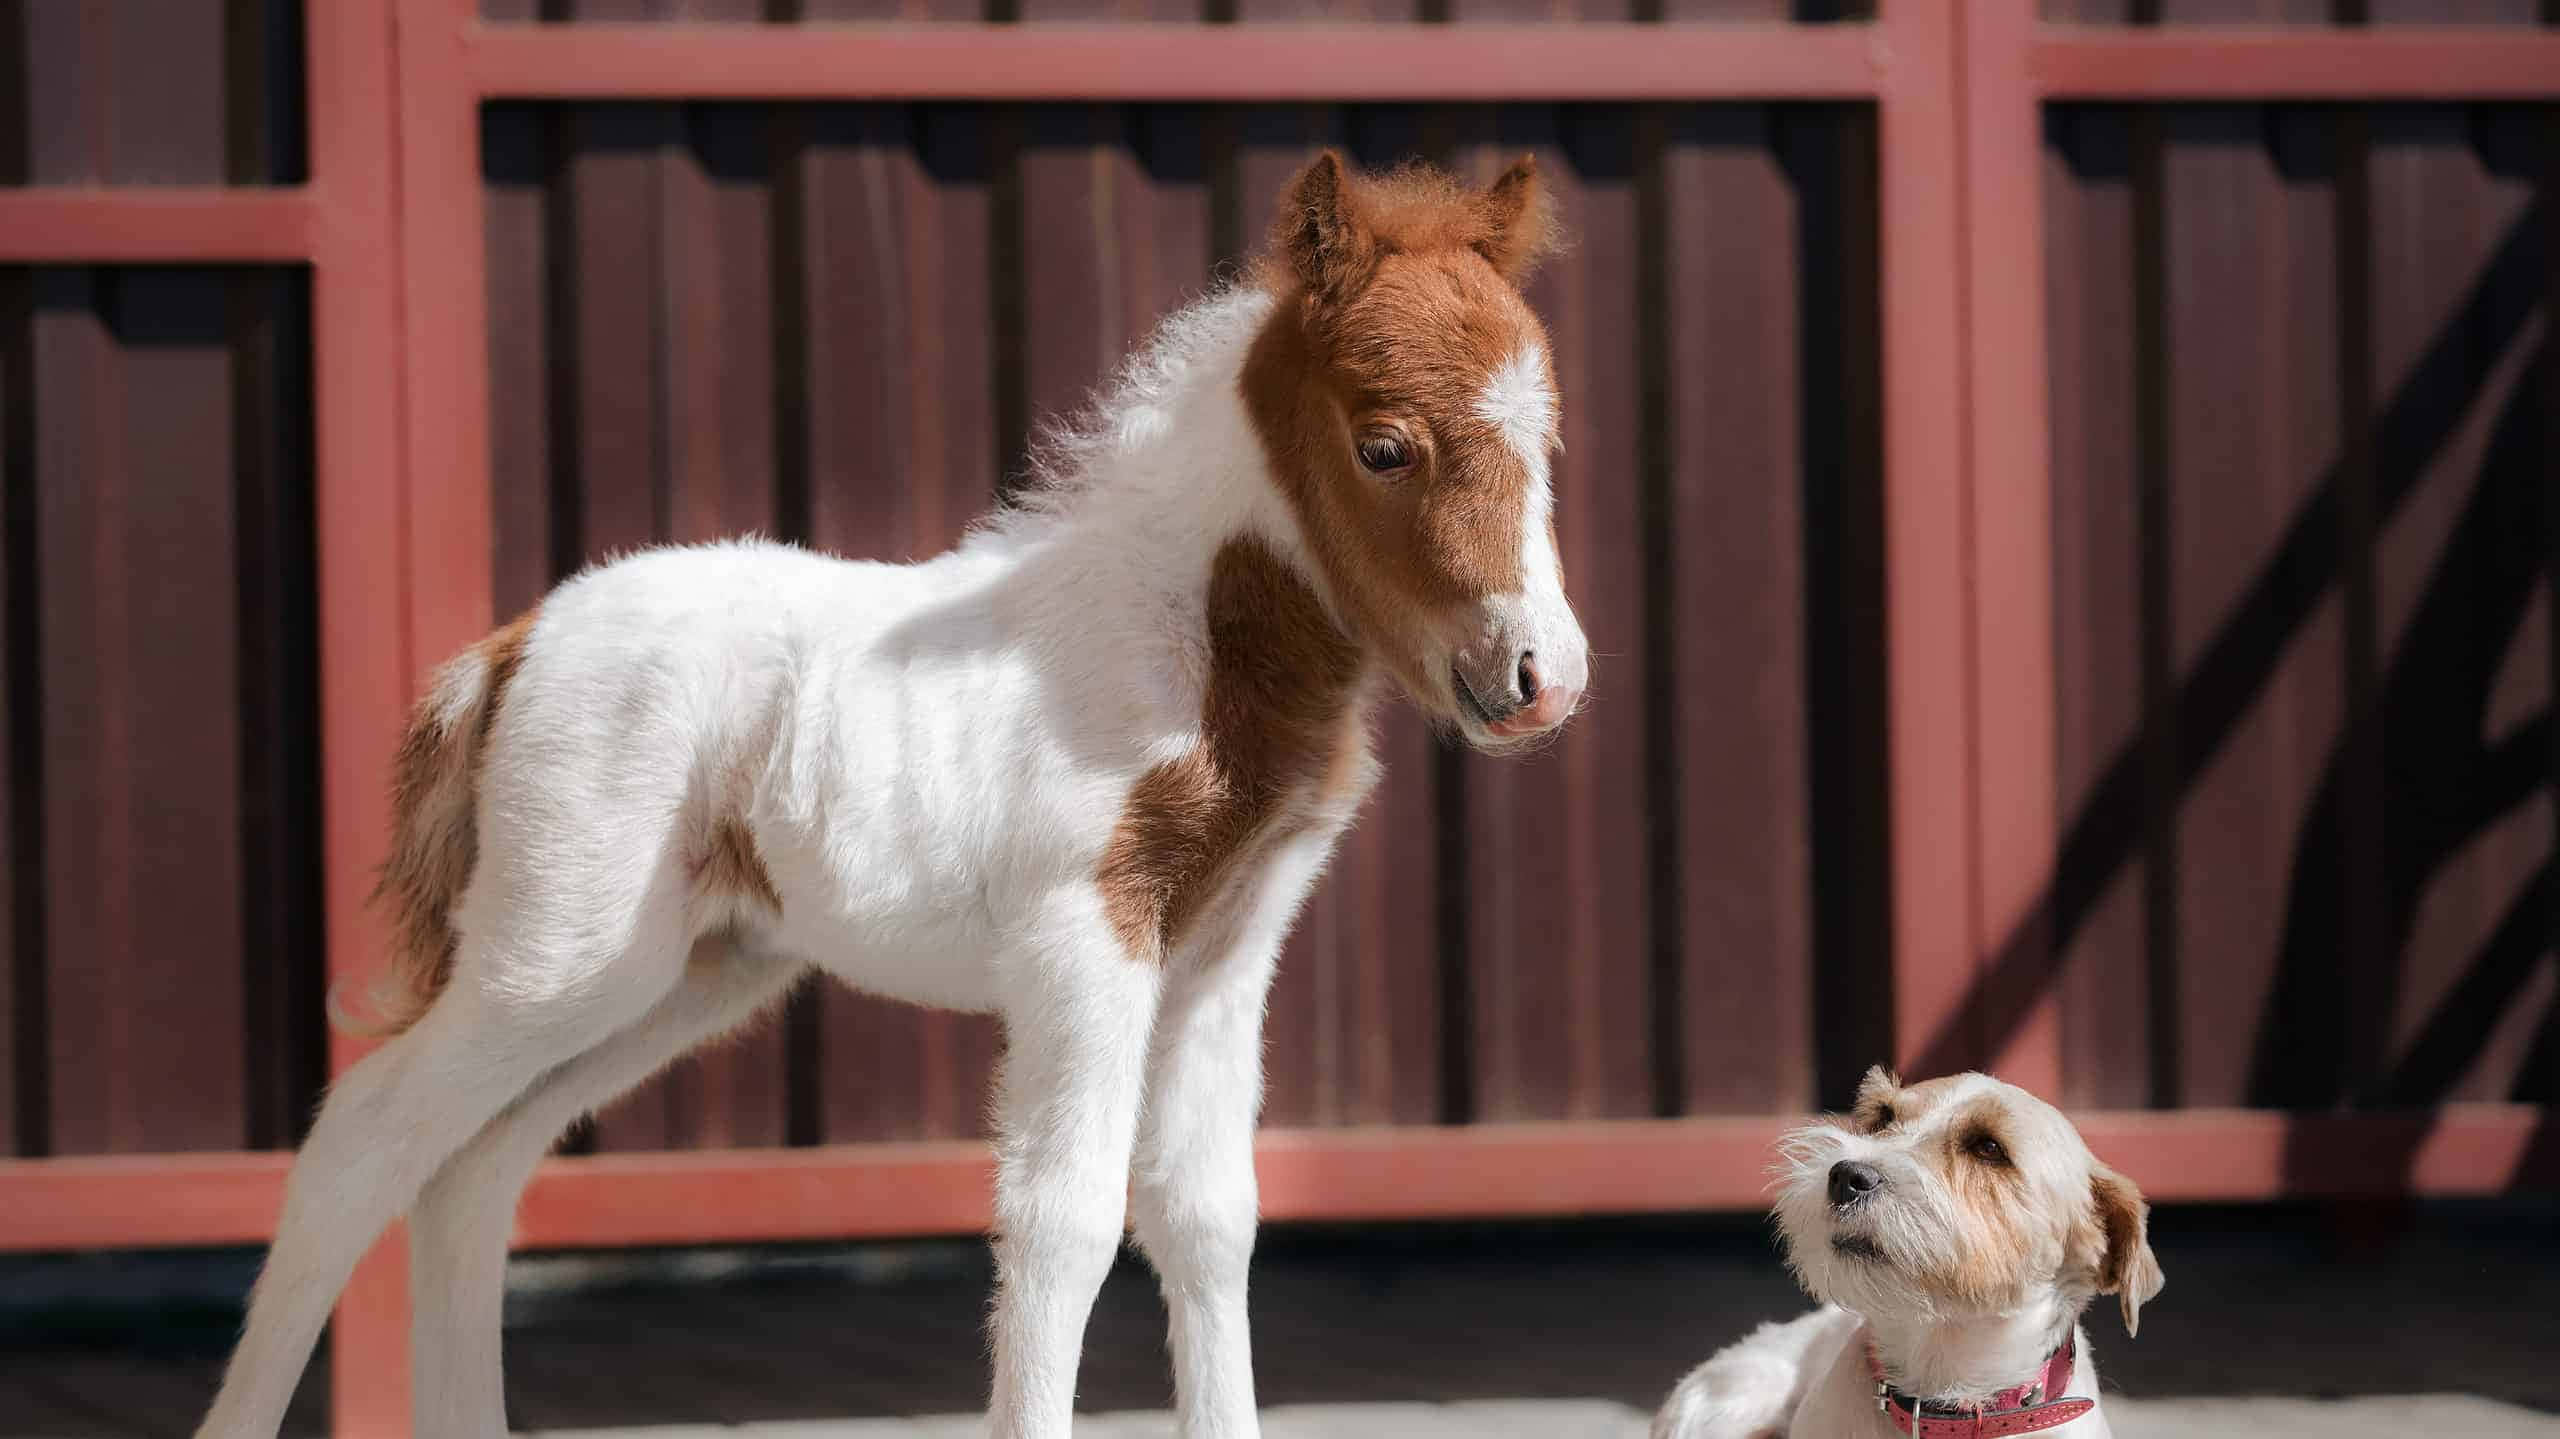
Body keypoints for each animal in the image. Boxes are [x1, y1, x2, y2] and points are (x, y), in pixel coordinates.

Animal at [195, 149, 1589, 1439]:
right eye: (1385, 445)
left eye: (1549, 440)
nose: (1540, 677)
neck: (1185, 638)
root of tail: (514, 641)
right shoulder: (1080, 938)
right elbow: (1064, 1219)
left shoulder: (1223, 953)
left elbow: (1205, 1214)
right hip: (557, 951)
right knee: (366, 1136)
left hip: (682, 973)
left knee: (475, 1165)